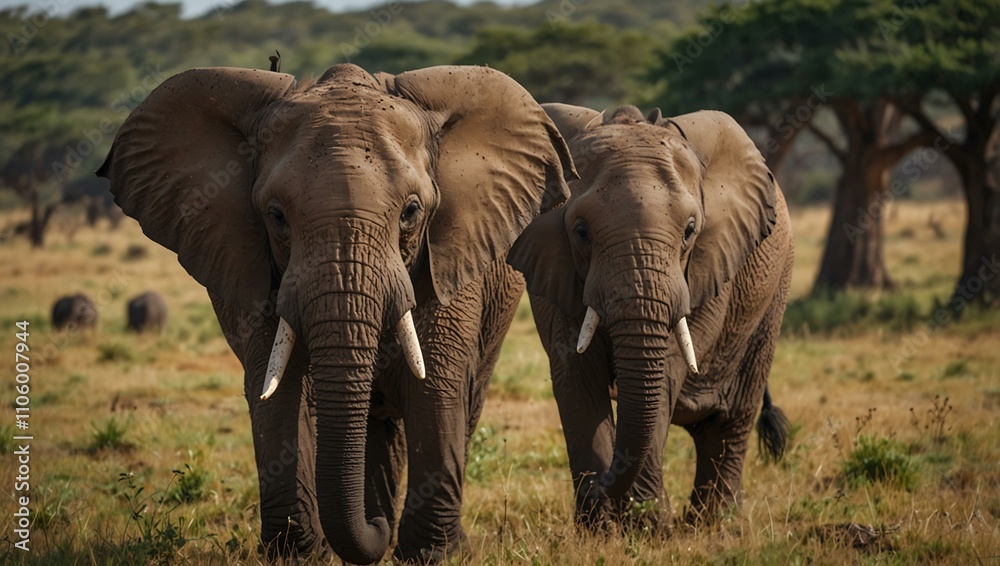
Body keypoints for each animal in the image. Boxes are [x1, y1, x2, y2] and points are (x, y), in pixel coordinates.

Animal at [97, 64, 573, 563]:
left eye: (411, 212)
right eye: (276, 216)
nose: (376, 530)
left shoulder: (451, 260)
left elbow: (436, 383)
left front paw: (432, 555)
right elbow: (280, 387)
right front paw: (298, 555)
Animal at [507, 104, 792, 530]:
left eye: (690, 230)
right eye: (580, 232)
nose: (605, 478)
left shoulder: (707, 265)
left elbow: (668, 367)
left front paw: (647, 527)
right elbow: (575, 370)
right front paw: (601, 529)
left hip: (773, 294)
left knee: (733, 415)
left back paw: (714, 523)